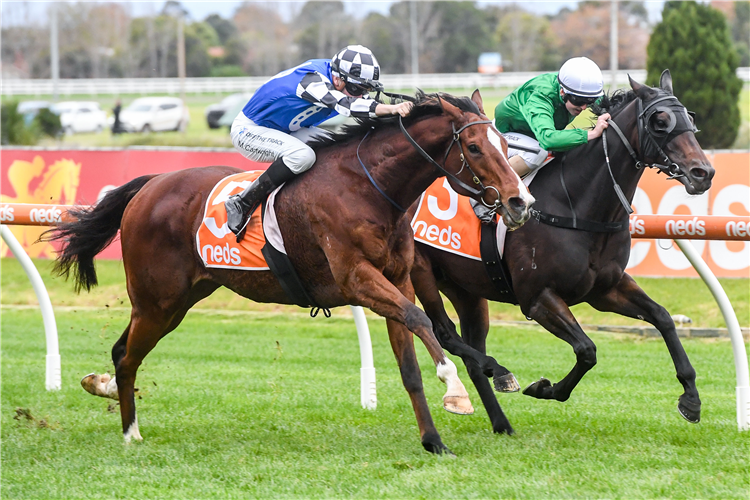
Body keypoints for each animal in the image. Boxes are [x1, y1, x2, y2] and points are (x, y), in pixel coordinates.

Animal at [45, 90, 536, 454]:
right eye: (474, 147)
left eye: (506, 145)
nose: (521, 202)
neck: (369, 188)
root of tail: (149, 186)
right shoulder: (358, 280)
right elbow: (421, 322)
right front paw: (455, 389)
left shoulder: (396, 280)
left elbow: (410, 363)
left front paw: (433, 441)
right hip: (156, 300)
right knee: (129, 357)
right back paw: (131, 432)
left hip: (176, 303)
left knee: (121, 350)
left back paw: (103, 387)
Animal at [412, 72, 716, 436]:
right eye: (659, 122)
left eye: (690, 119)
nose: (703, 173)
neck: (575, 206)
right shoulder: (537, 298)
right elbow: (587, 350)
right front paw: (545, 388)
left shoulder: (605, 289)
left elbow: (663, 318)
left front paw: (691, 399)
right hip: (421, 272)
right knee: (443, 331)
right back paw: (499, 373)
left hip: (466, 288)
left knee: (471, 351)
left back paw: (501, 419)